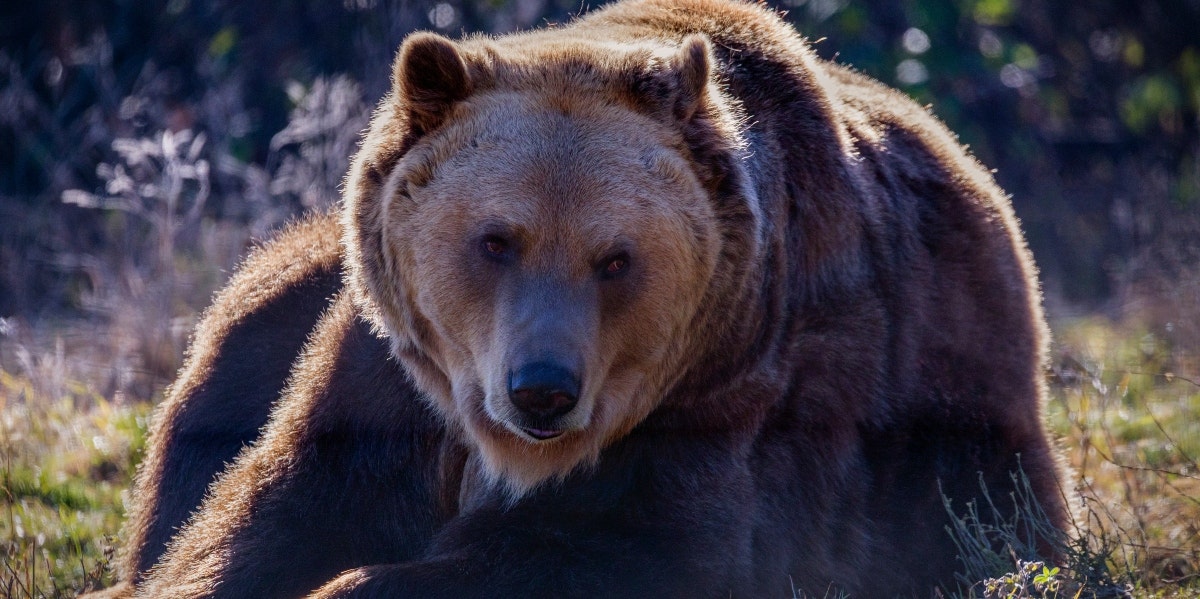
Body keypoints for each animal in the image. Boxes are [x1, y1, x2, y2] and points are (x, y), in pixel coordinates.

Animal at [96, 0, 1070, 597]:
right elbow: (263, 513)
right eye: (497, 239)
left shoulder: (730, 401)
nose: (542, 390)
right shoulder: (385, 384)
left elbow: (609, 550)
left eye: (615, 258)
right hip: (285, 287)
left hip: (968, 440)